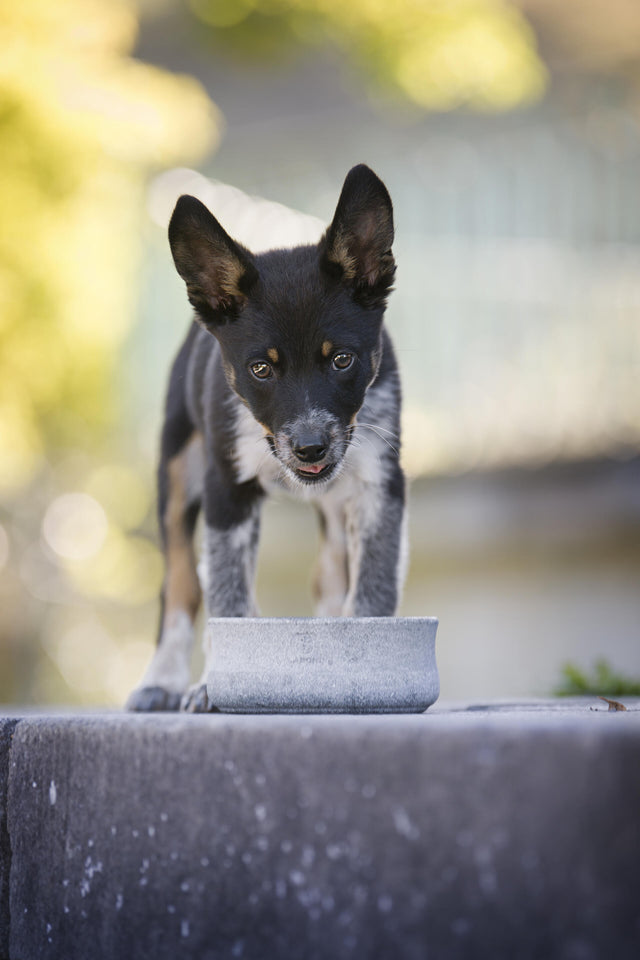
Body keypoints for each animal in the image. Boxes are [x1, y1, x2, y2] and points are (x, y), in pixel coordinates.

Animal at [127, 163, 408, 712]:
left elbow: (371, 586)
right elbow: (228, 600)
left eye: (342, 360)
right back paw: (161, 680)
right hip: (177, 468)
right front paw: (213, 687)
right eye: (261, 369)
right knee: (180, 583)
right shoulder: (226, 490)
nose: (310, 447)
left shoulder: (380, 481)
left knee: (329, 572)